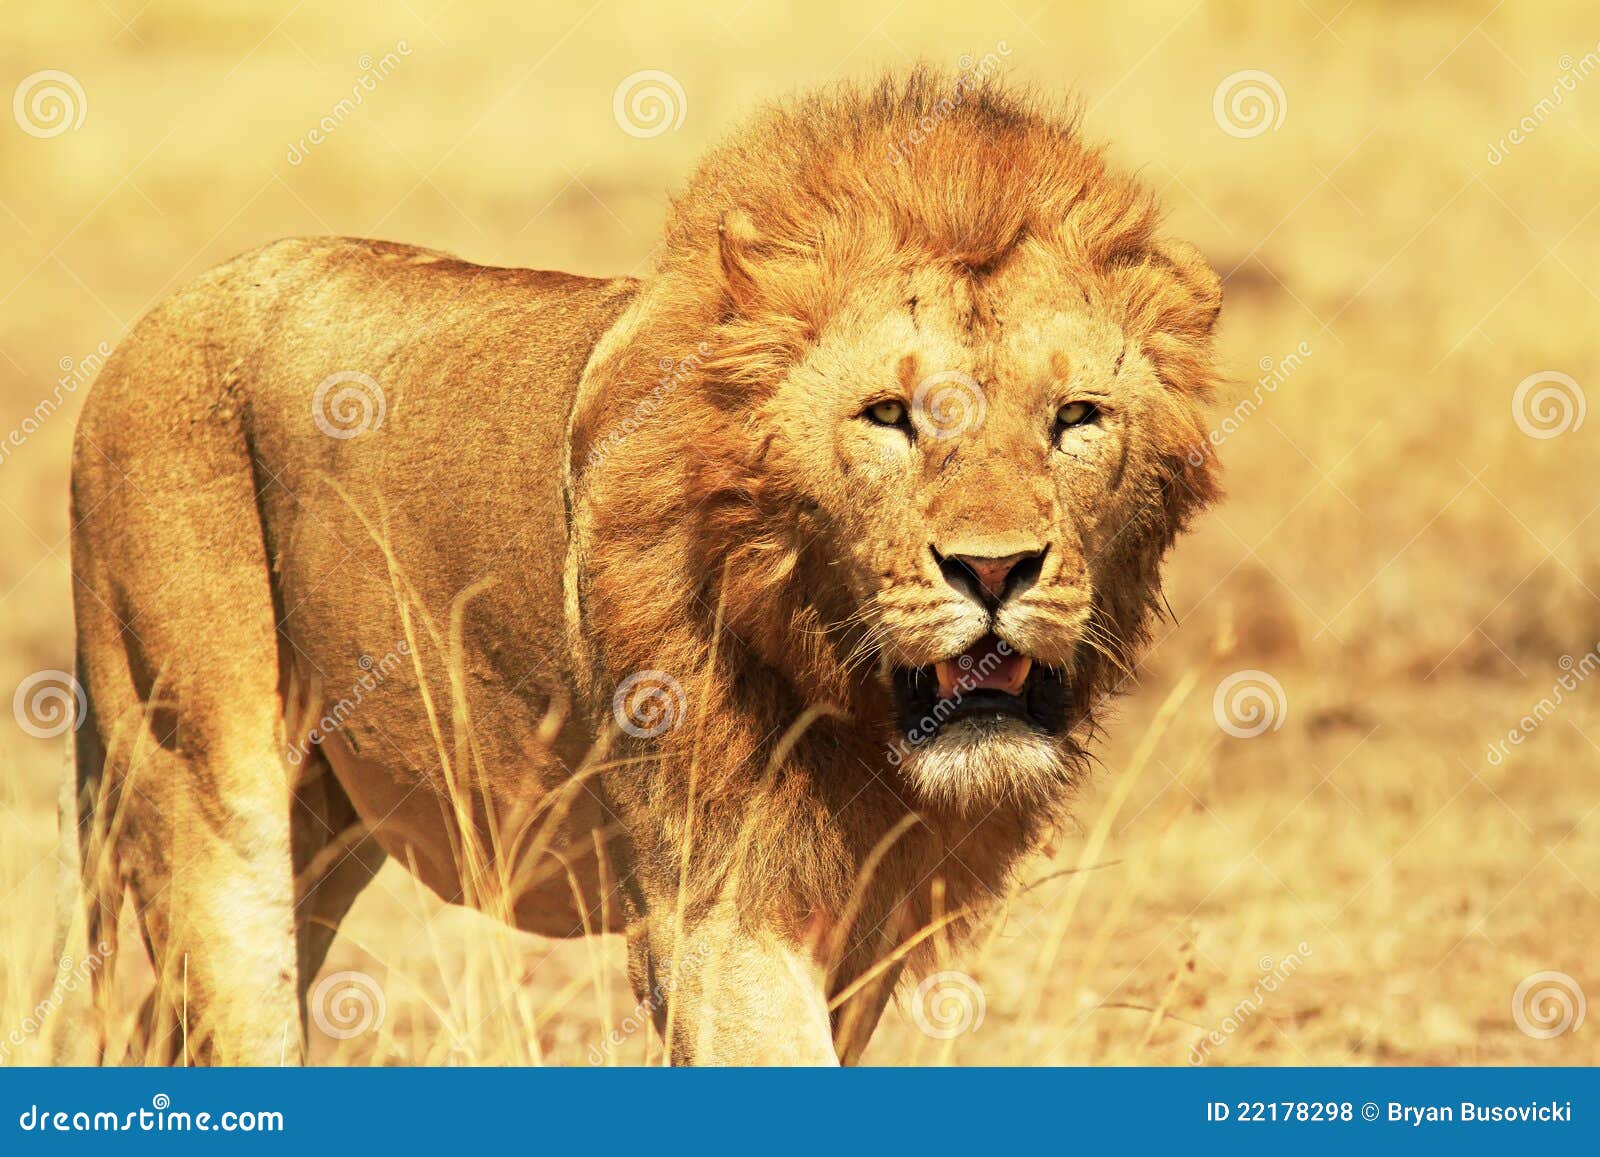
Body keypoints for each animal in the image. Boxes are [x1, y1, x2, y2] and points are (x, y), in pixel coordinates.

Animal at [68, 72, 1216, 1068]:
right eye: (888, 416)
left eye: (1075, 418)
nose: (994, 569)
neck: (847, 702)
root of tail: (138, 335)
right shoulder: (712, 915)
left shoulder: (861, 927)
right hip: (203, 795)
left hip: (326, 826)